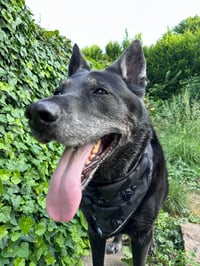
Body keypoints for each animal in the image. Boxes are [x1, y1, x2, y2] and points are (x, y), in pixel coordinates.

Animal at [25, 40, 168, 266]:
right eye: (58, 91)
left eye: (100, 91)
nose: (36, 113)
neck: (113, 185)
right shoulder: (95, 232)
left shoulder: (142, 237)